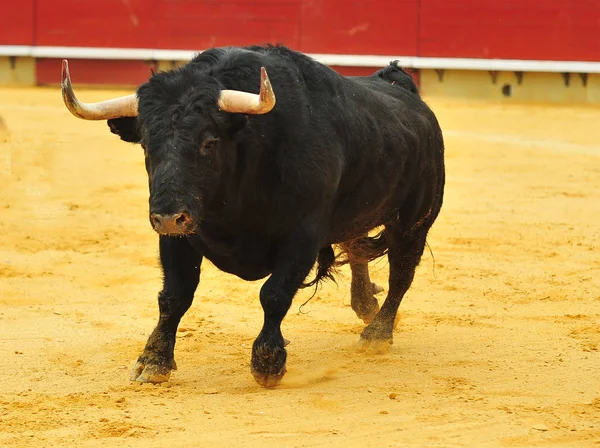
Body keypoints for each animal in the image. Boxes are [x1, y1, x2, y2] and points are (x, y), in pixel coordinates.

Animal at [62, 46, 446, 388]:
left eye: (209, 142)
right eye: (146, 145)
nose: (169, 216)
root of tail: (404, 91)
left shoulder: (302, 236)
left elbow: (274, 294)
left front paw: (268, 363)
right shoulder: (178, 237)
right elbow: (174, 295)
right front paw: (153, 361)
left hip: (414, 222)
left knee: (401, 275)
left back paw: (377, 333)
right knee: (357, 248)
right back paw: (365, 303)